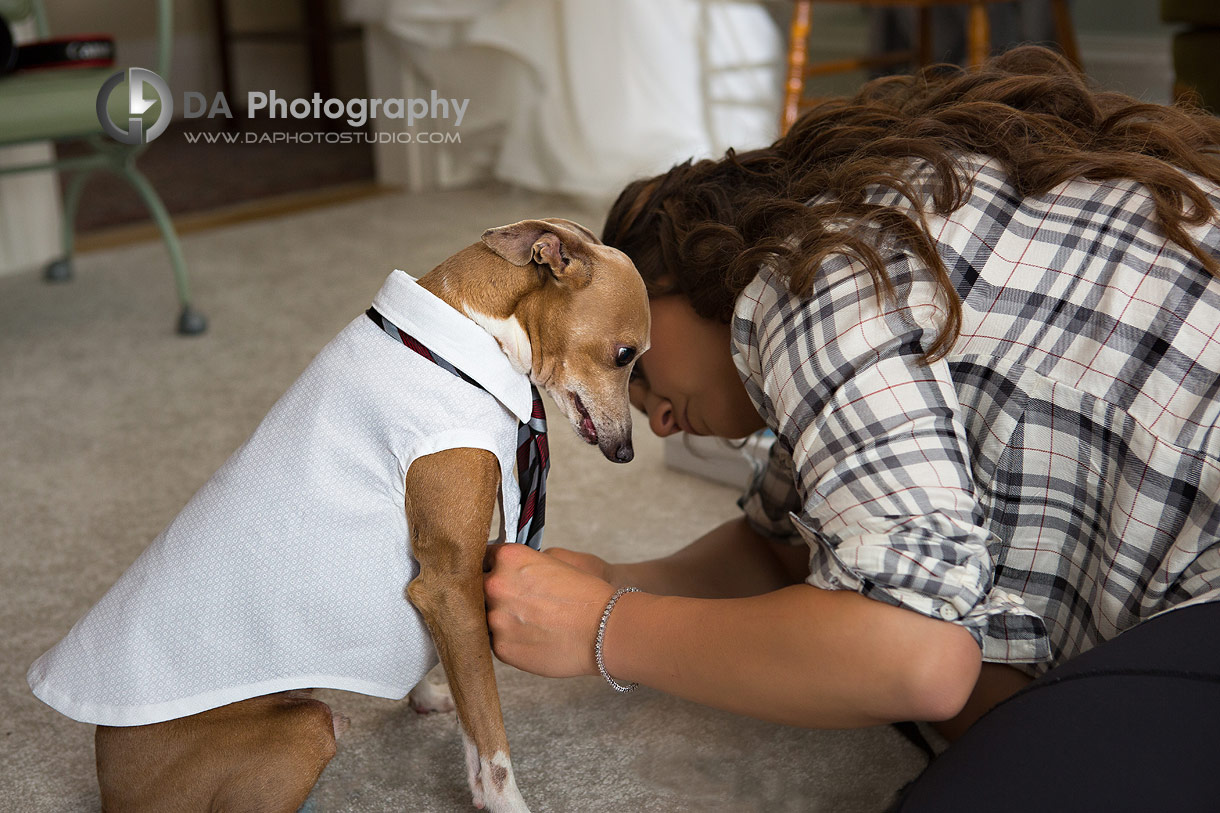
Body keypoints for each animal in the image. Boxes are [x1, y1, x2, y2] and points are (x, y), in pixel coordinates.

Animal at [28, 217, 653, 810]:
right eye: (625, 355)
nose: (626, 452)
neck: (462, 339)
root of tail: (111, 787)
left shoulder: (444, 584)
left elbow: (461, 685)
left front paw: (430, 697)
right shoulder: (448, 580)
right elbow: (489, 731)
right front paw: (506, 801)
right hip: (305, 730)